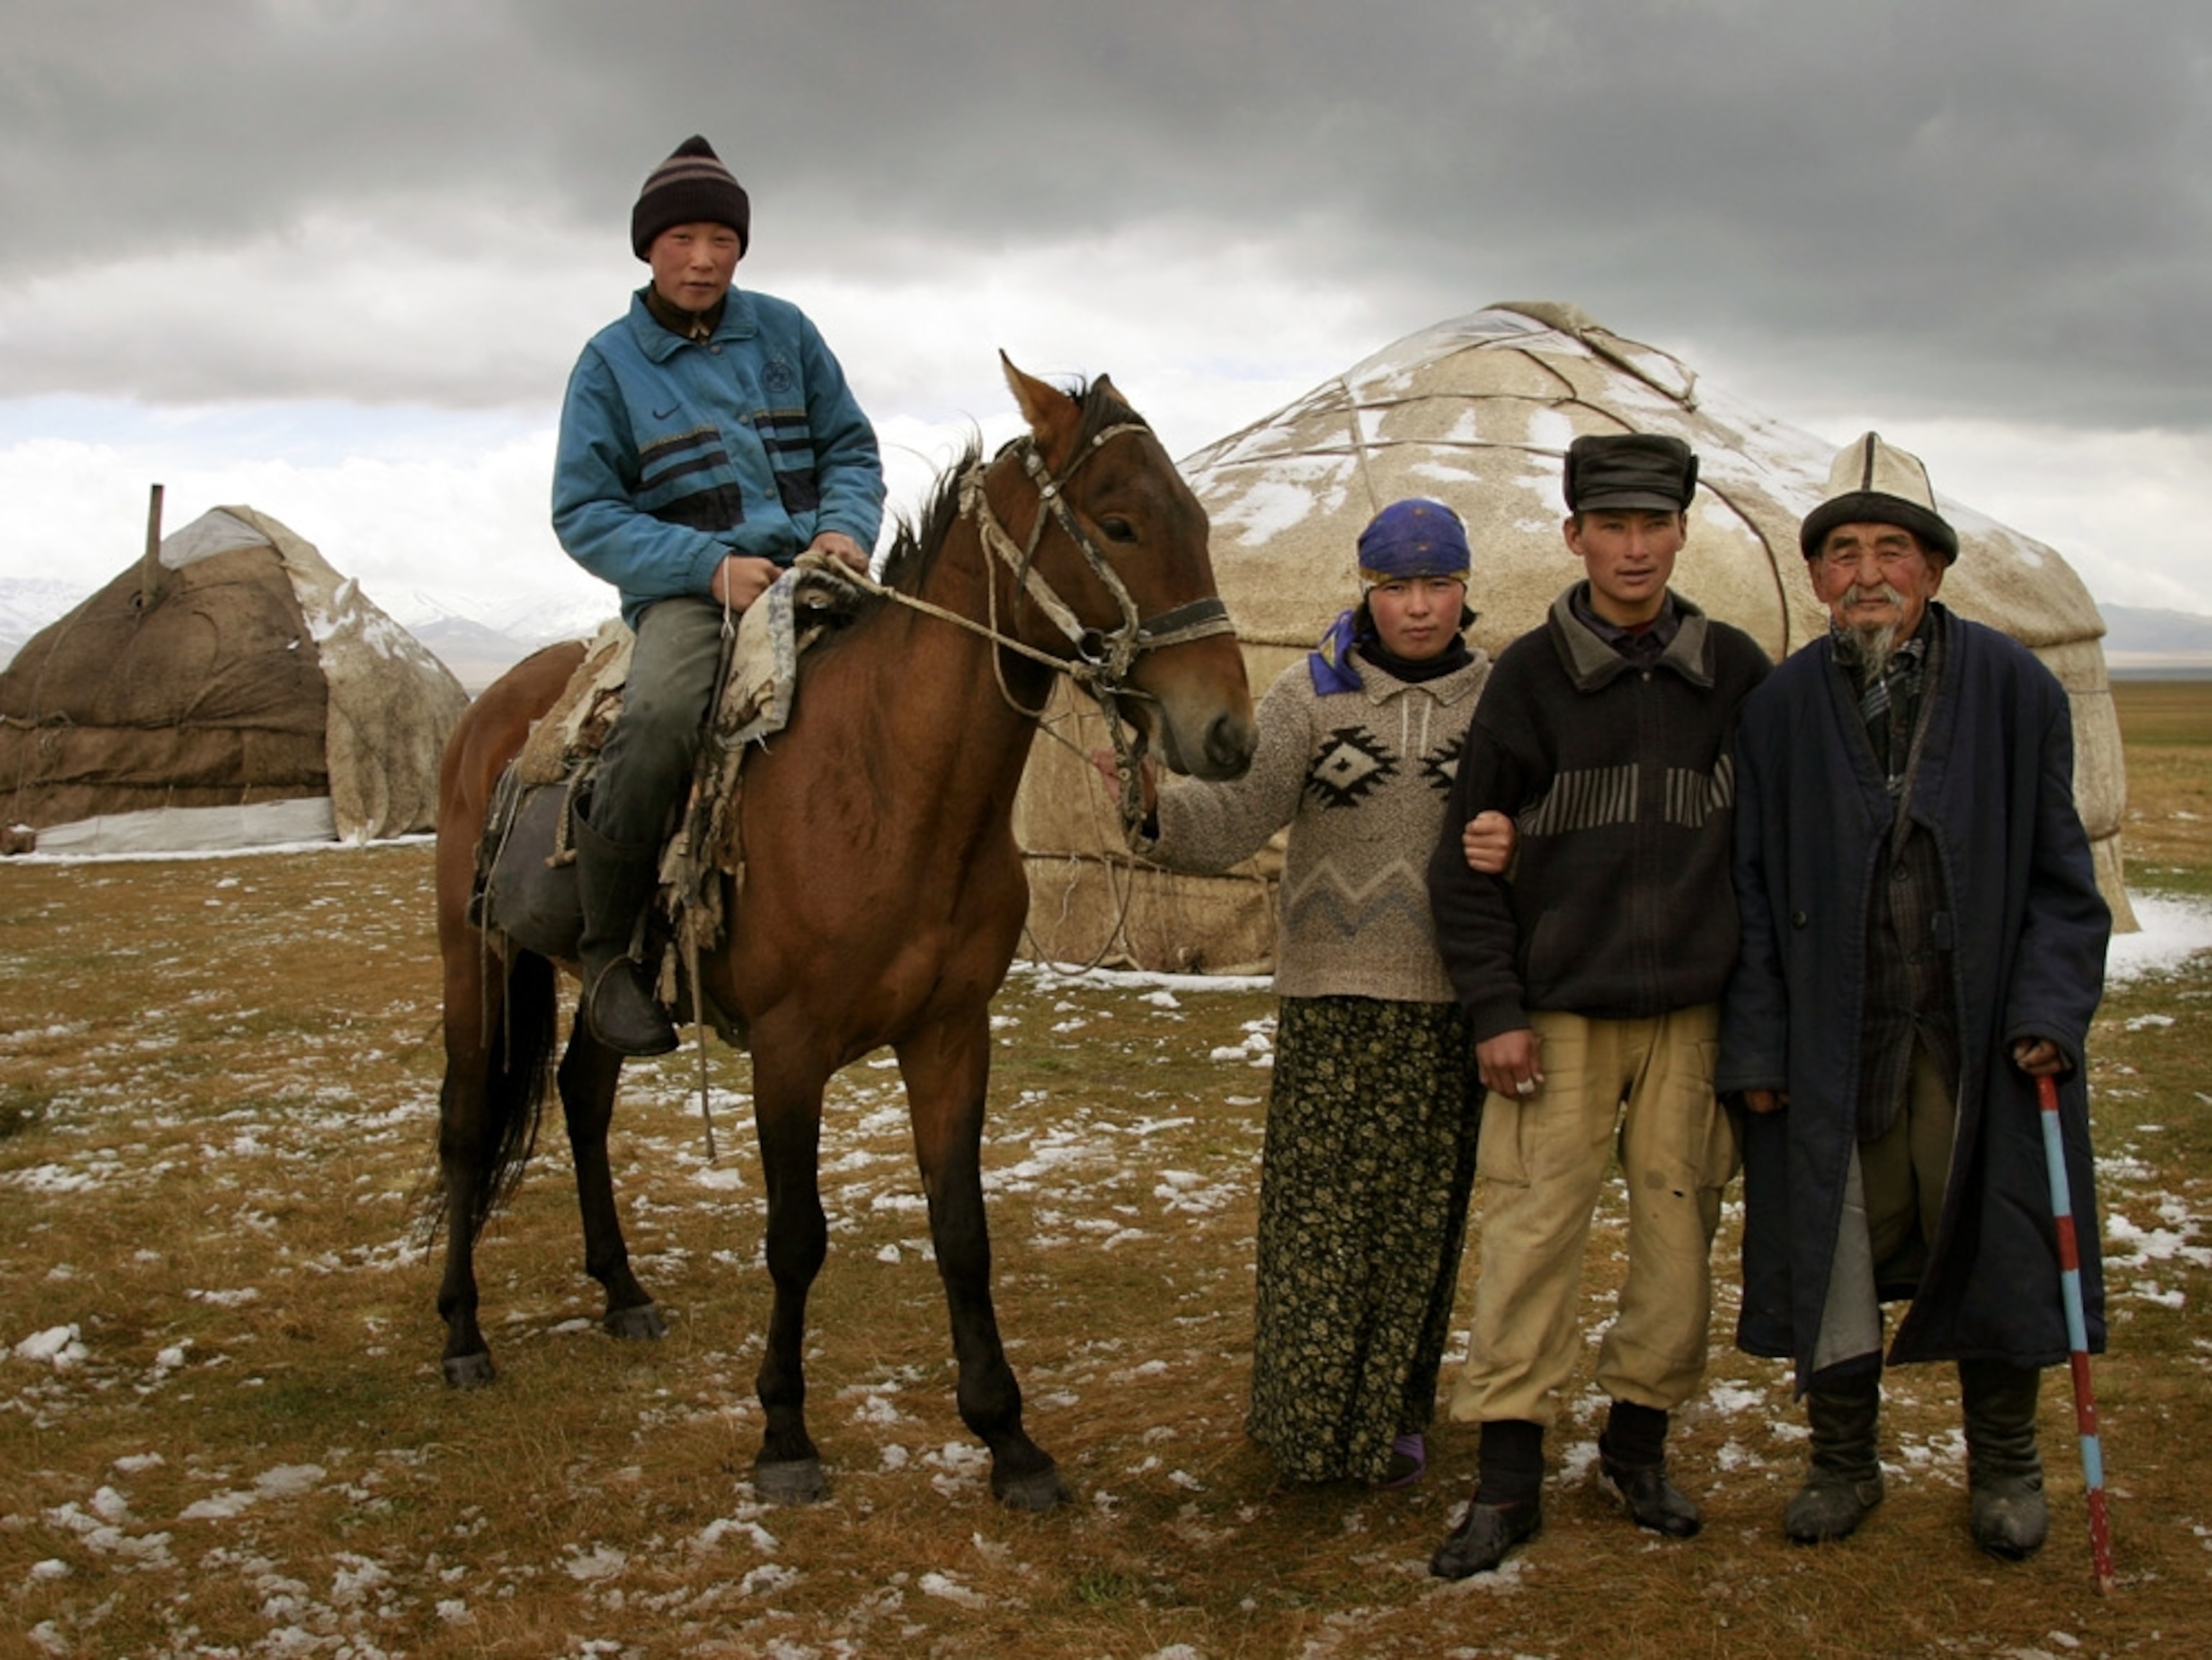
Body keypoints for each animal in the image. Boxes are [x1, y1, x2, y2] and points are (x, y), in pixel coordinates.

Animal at [429, 357, 1257, 1510]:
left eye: (1200, 520)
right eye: (1122, 523)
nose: (1229, 734)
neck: (892, 784)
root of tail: (490, 710)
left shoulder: (951, 1033)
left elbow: (963, 1232)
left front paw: (1009, 1440)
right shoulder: (789, 1048)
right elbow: (795, 1236)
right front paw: (784, 1434)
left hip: (608, 990)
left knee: (584, 1099)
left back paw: (623, 1290)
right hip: (475, 958)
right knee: (468, 1125)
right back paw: (463, 1336)